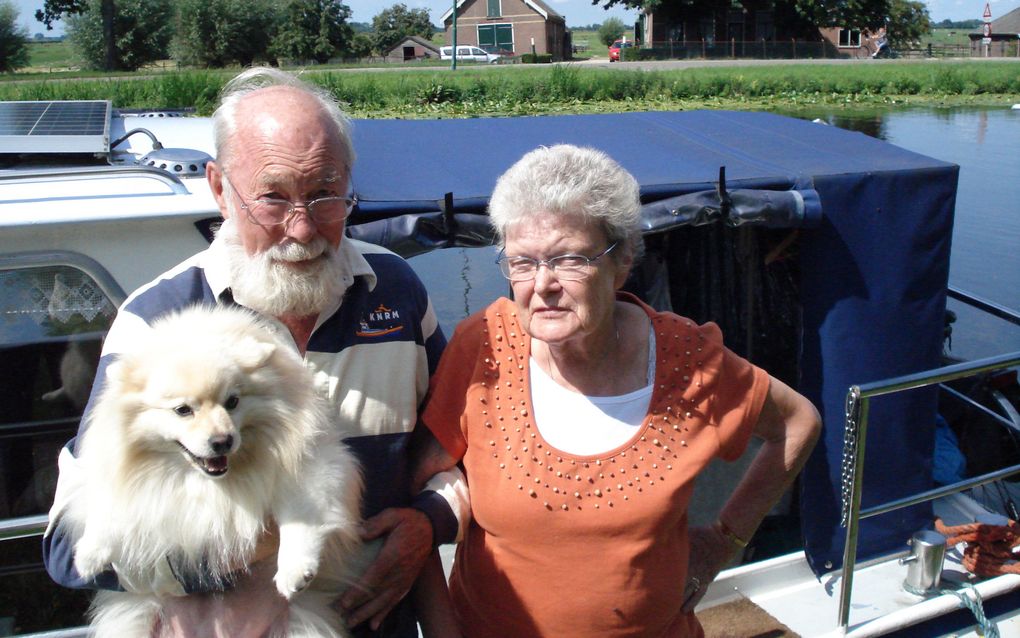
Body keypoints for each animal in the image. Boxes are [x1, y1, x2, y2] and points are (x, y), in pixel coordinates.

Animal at [59, 304, 363, 636]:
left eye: (233, 401)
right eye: (183, 410)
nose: (222, 441)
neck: (210, 480)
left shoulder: (313, 465)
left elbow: (300, 519)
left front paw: (295, 570)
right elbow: (109, 505)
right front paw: (89, 554)